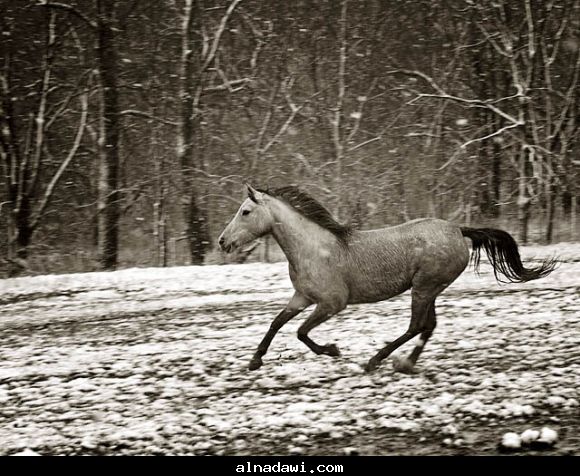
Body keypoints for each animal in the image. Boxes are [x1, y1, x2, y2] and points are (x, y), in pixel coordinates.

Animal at [218, 184, 557, 373]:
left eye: (245, 211)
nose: (223, 242)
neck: (313, 249)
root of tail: (458, 230)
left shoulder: (332, 304)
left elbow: (301, 332)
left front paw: (333, 350)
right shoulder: (302, 297)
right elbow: (277, 323)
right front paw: (254, 361)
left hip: (424, 287)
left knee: (416, 326)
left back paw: (375, 361)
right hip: (430, 289)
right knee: (428, 326)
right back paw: (405, 364)